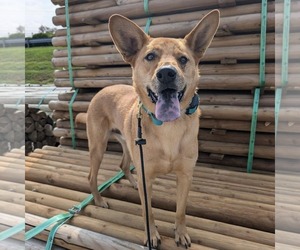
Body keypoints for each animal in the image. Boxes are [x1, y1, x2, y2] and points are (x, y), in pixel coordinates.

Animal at [77, 9, 218, 248]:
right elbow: (147, 211)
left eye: (183, 59)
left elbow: (180, 210)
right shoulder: (147, 175)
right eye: (150, 57)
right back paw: (99, 200)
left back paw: (132, 183)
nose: (167, 73)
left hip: (128, 146)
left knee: (124, 165)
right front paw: (151, 234)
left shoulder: (185, 176)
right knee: (90, 176)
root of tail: (103, 89)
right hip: (98, 147)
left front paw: (181, 233)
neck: (169, 128)